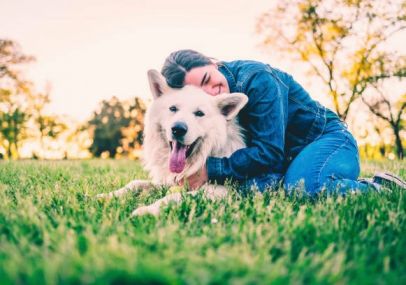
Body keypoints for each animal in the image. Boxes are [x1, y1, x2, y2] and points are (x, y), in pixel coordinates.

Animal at [98, 69, 247, 215]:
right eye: (173, 109)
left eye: (199, 113)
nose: (178, 129)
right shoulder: (166, 181)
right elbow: (135, 183)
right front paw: (108, 196)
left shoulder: (220, 191)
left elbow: (174, 196)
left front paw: (147, 210)